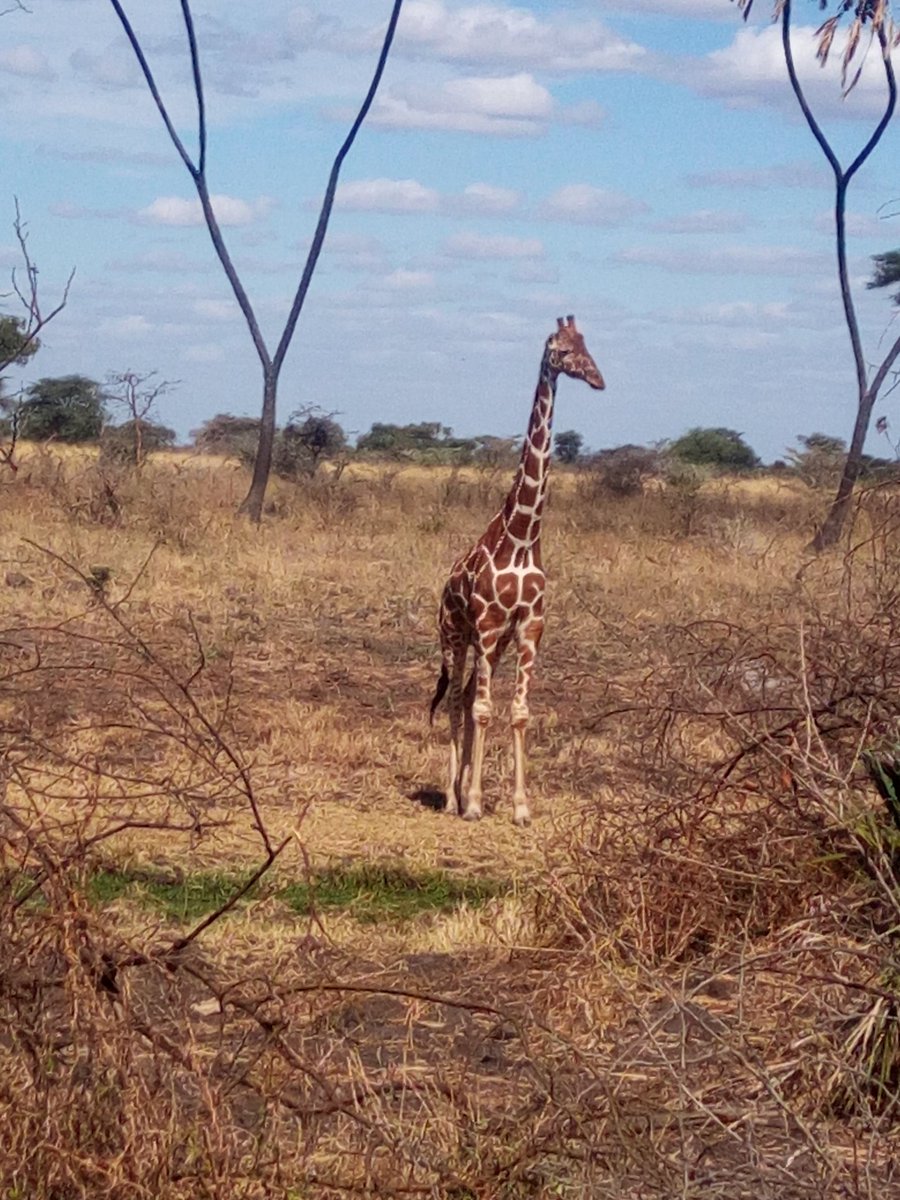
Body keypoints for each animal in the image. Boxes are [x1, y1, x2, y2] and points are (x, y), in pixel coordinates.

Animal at [430, 315, 605, 825]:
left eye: (587, 344)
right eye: (560, 349)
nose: (598, 379)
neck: (523, 539)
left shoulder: (528, 627)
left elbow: (518, 711)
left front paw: (520, 807)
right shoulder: (487, 626)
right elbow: (484, 710)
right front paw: (471, 803)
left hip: (492, 643)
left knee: (469, 696)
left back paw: (464, 789)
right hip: (455, 636)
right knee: (457, 699)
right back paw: (452, 798)